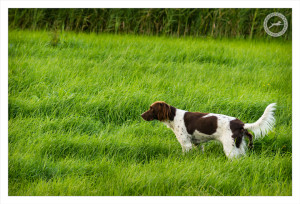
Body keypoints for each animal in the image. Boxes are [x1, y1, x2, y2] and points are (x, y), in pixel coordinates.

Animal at [141, 101, 276, 159]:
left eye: (151, 108)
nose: (141, 115)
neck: (174, 117)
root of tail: (241, 124)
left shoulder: (186, 144)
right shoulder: (197, 144)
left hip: (229, 147)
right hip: (239, 146)